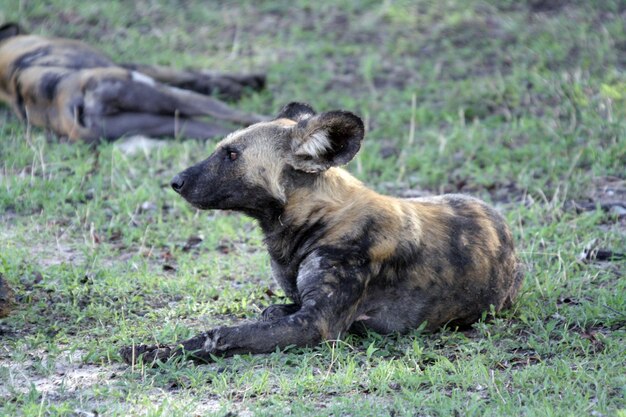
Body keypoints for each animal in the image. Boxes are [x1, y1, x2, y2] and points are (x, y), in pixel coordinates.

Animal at [0, 22, 266, 143]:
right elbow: (189, 74)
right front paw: (244, 83)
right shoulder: (138, 69)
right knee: (235, 115)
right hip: (170, 97)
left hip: (168, 124)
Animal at [119, 102, 524, 366]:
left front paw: (155, 353)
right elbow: (268, 311)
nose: (176, 181)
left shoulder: (315, 324)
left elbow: (223, 334)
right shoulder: (296, 309)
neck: (313, 221)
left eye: (232, 155)